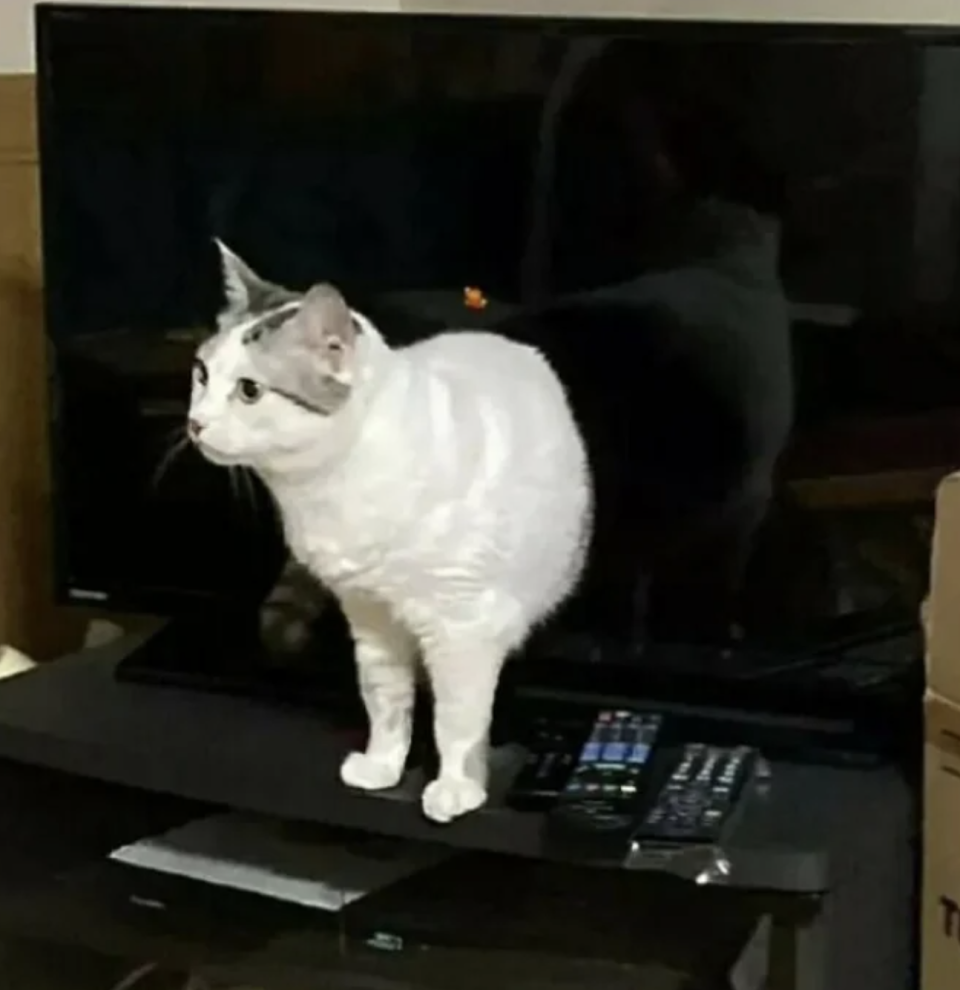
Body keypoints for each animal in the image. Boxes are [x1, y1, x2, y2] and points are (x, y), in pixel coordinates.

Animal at [188, 244, 592, 824]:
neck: (333, 485)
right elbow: (385, 700)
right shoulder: (369, 616)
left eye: (249, 391)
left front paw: (457, 787)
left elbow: (457, 720)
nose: (195, 423)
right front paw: (384, 765)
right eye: (201, 373)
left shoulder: (464, 628)